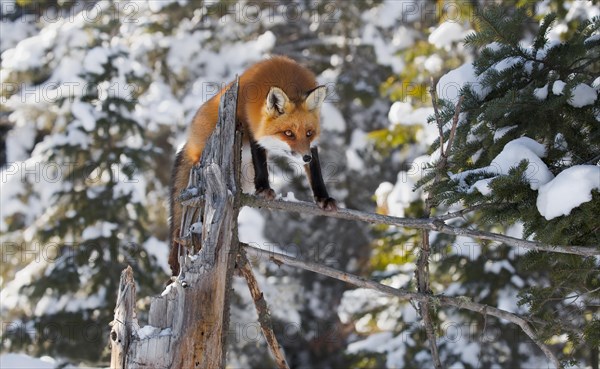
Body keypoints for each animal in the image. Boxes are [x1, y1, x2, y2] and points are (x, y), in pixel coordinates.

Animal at [170, 56, 338, 274]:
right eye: (289, 134)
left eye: (309, 133)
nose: (305, 158)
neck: (285, 78)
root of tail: (190, 139)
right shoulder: (252, 127)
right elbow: (261, 161)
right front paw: (264, 188)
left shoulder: (312, 146)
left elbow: (316, 172)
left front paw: (323, 198)